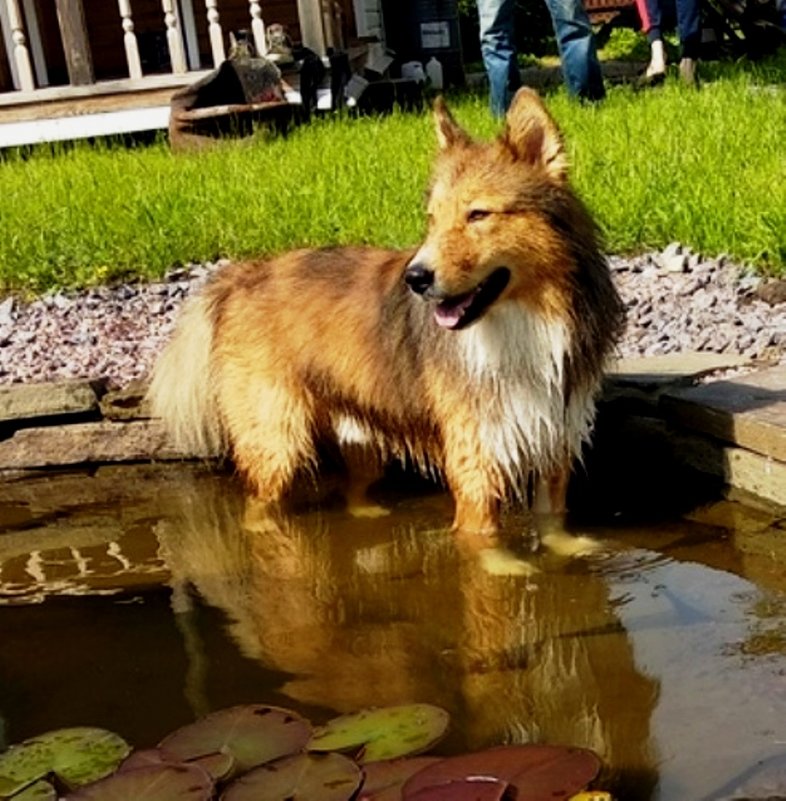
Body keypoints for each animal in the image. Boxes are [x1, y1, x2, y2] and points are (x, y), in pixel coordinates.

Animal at [149, 89, 620, 532]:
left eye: (478, 214)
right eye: (432, 219)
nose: (416, 278)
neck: (521, 320)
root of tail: (241, 274)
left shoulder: (555, 448)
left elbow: (553, 530)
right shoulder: (477, 463)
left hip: (359, 434)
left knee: (353, 488)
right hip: (275, 441)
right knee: (259, 506)